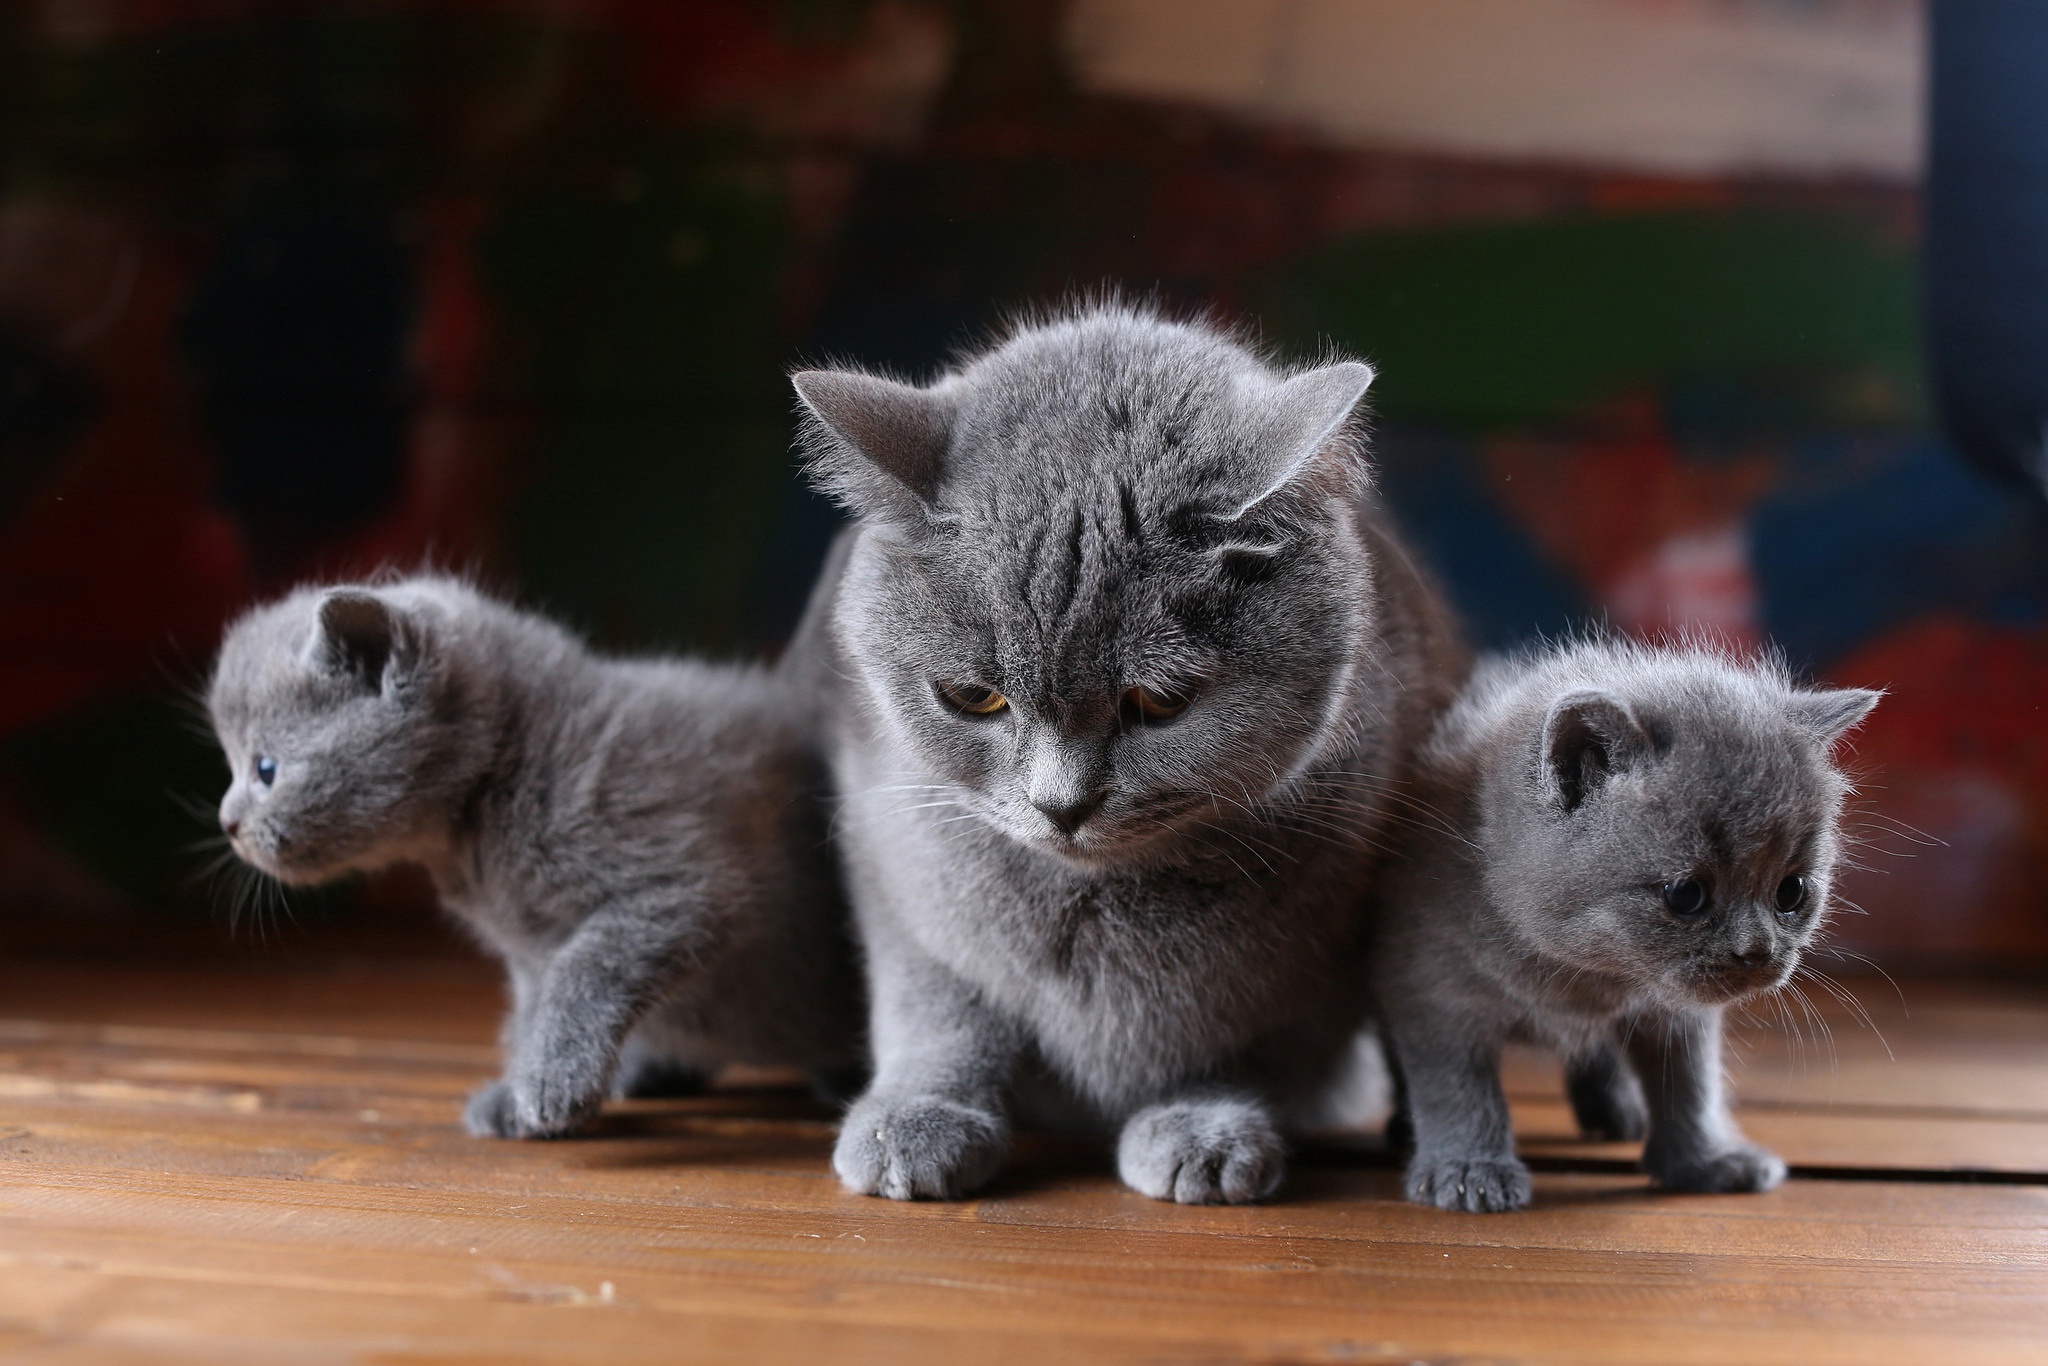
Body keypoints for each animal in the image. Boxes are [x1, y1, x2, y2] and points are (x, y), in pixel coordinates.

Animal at [214, 573, 864, 1138]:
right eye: (234, 765)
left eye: (265, 769)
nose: (228, 823)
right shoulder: (528, 954)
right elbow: (532, 1006)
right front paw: (517, 1092)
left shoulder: (680, 886)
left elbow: (585, 969)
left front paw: (552, 1083)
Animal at [774, 305, 1466, 1204]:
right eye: (974, 697)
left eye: (1161, 702)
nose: (1061, 804)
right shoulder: (891, 861)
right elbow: (938, 1005)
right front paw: (914, 1120)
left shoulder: (1304, 963)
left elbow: (1234, 1038)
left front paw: (1203, 1126)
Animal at [1368, 634, 1875, 1212]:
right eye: (1686, 895)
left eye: (1791, 891)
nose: (1758, 951)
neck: (1584, 980)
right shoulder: (1428, 987)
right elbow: (1456, 1088)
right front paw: (1470, 1170)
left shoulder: (1676, 1012)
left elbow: (1691, 1083)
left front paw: (1706, 1161)